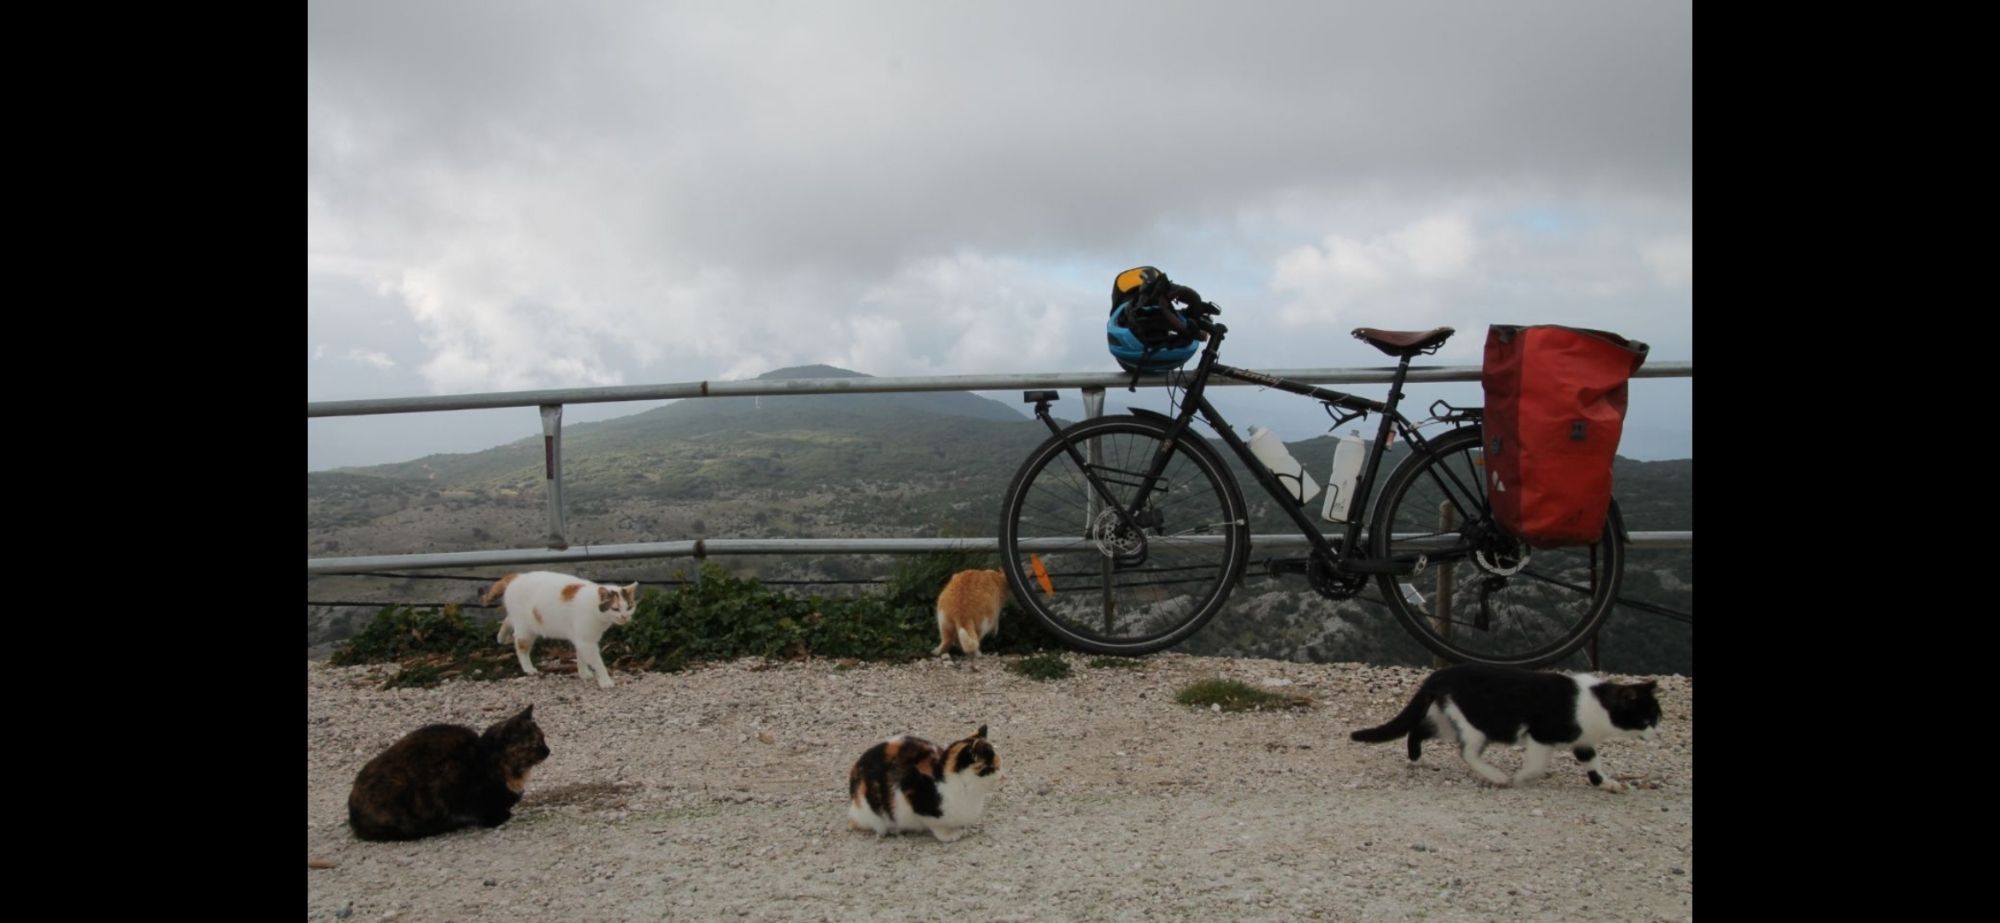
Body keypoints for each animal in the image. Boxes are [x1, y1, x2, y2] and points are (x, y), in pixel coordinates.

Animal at [344, 703, 548, 839]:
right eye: (534, 744)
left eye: (544, 738)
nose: (548, 750)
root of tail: (353, 814)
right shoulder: (454, 778)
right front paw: (498, 817)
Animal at [480, 571, 636, 687]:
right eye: (615, 609)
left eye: (629, 607)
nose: (624, 617)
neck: (593, 607)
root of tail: (515, 576)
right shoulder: (587, 642)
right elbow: (597, 662)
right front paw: (605, 681)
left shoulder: (581, 640)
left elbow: (581, 658)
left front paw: (584, 674)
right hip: (525, 629)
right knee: (520, 647)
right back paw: (528, 669)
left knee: (507, 620)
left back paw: (501, 637)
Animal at [1352, 663, 1664, 795]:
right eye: (1647, 719)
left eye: (1658, 717)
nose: (1656, 733)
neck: (1594, 703)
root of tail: (1440, 674)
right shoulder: (1541, 734)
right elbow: (1536, 764)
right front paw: (1521, 778)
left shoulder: (1582, 741)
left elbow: (1593, 764)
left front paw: (1607, 783)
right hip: (1476, 723)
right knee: (1468, 752)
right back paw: (1497, 776)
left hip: (1447, 719)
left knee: (1417, 730)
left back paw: (1418, 760)